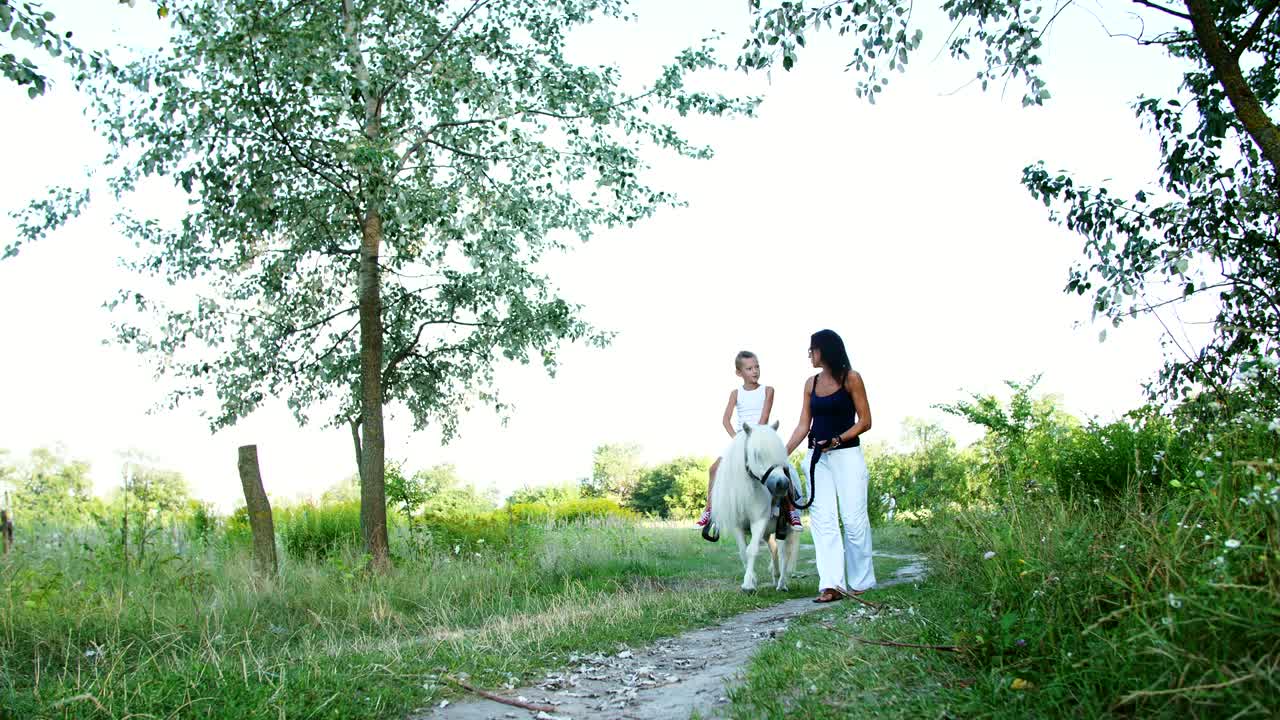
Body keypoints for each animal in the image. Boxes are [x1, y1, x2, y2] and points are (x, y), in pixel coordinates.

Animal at [706, 421, 801, 593]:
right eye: (757, 454)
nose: (783, 484)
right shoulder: (737, 526)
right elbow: (743, 552)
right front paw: (752, 580)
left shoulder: (759, 521)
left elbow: (752, 550)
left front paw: (749, 585)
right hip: (768, 533)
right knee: (774, 549)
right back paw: (775, 576)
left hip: (787, 529)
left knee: (784, 553)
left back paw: (782, 584)